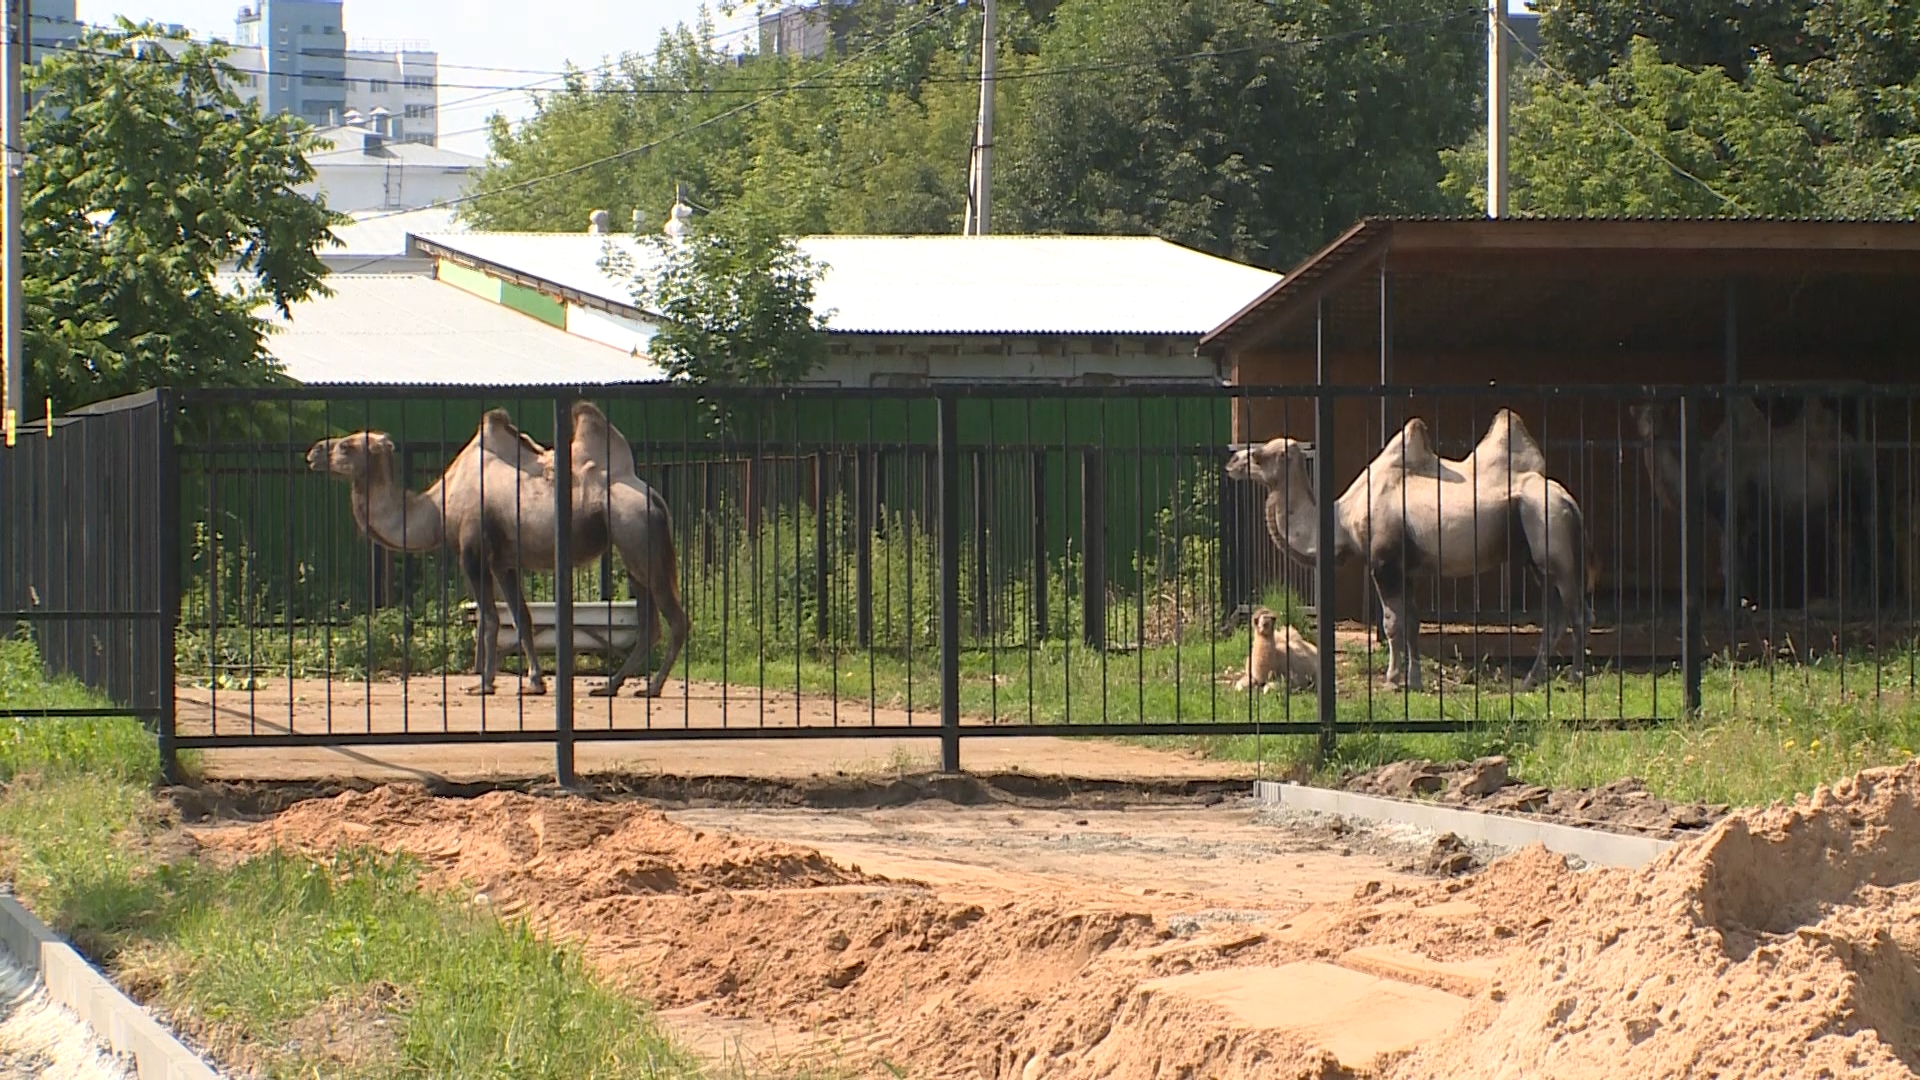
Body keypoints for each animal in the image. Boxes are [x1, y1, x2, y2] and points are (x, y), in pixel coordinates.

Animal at [318, 399, 695, 691]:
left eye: (348, 445)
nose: (316, 450)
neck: (439, 507)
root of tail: (655, 498)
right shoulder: (504, 561)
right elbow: (521, 618)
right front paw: (535, 681)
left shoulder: (472, 550)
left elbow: (489, 618)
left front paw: (484, 683)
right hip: (632, 549)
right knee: (650, 625)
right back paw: (610, 686)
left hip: (636, 535)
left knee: (675, 620)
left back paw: (651, 688)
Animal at [1228, 403, 1589, 687]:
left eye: (1258, 454)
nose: (1231, 463)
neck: (1343, 517)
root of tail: (1571, 503)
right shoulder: (1408, 567)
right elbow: (1413, 622)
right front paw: (1414, 679)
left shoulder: (1383, 563)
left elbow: (1392, 623)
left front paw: (1392, 678)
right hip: (1536, 559)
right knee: (1554, 616)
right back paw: (1532, 679)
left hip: (1551, 536)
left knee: (1577, 612)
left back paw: (1574, 677)